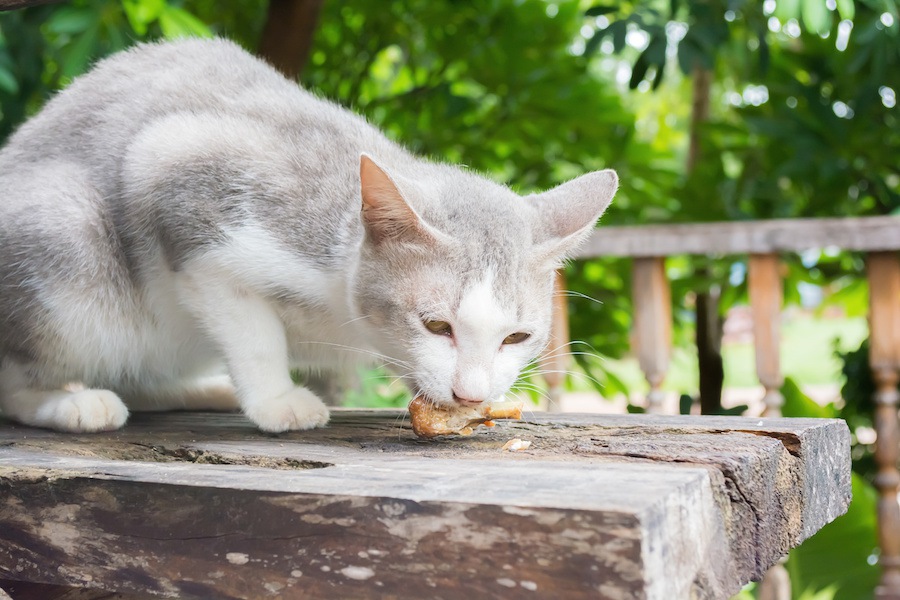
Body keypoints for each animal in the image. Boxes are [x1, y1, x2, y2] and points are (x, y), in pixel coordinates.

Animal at [0, 36, 616, 432]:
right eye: (436, 325)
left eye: (517, 337)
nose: (472, 393)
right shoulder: (177, 176)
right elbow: (253, 330)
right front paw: (278, 402)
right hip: (66, 234)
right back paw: (74, 404)